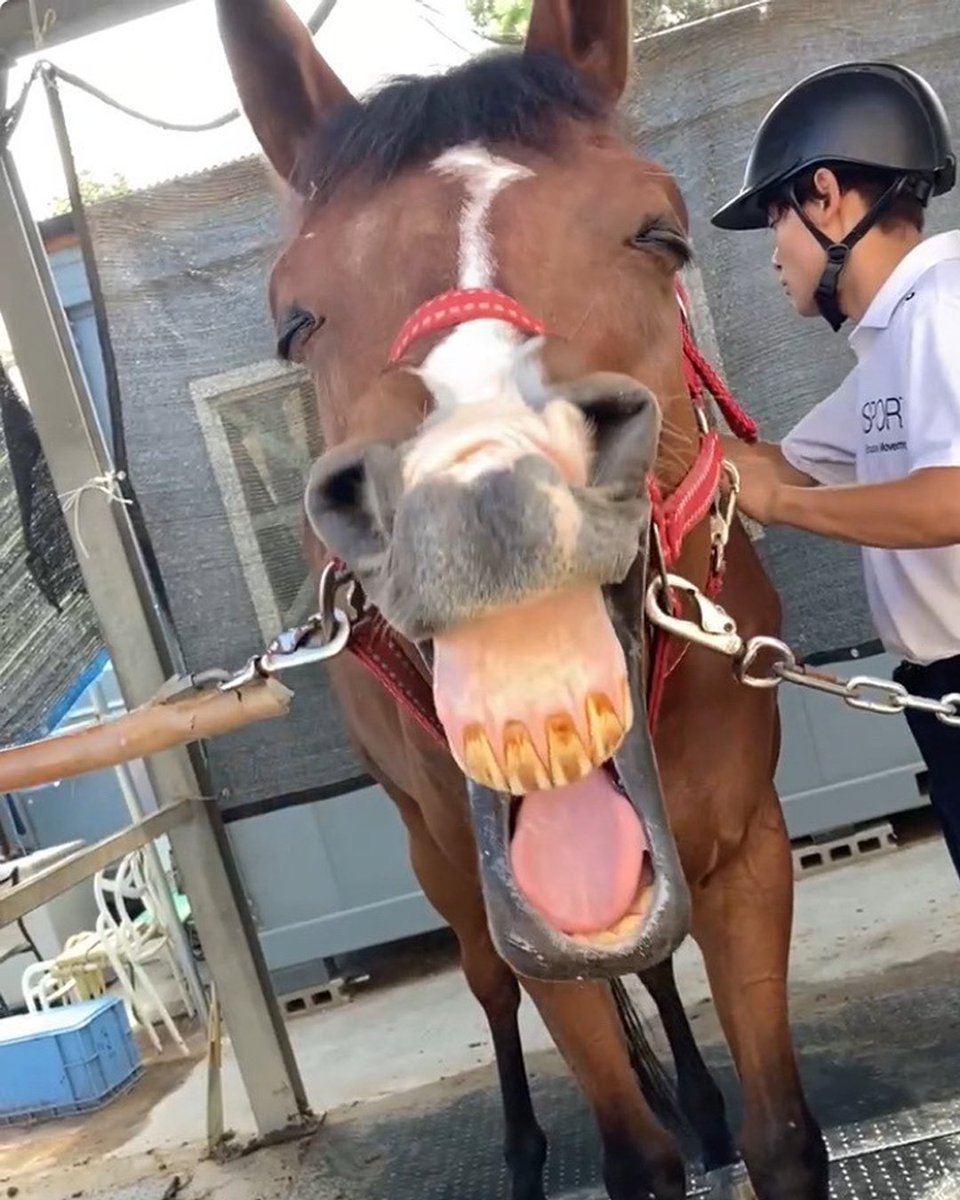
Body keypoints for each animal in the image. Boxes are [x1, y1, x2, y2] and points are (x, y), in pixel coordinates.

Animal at [214, 3, 829, 1198]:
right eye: (294, 321)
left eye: (660, 235)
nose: (479, 496)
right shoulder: (510, 905)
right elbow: (629, 1150)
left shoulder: (748, 856)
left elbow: (782, 1136)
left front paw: (724, 1118)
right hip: (444, 868)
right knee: (492, 992)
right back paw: (523, 1148)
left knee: (653, 972)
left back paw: (698, 1102)